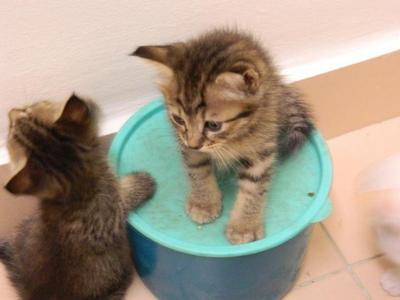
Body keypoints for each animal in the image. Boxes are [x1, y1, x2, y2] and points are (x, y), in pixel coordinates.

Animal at [0, 94, 155, 300]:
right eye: (11, 129)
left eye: (27, 110)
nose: (11, 112)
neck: (77, 186)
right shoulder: (111, 209)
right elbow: (126, 196)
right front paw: (142, 182)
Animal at [132, 27, 312, 244]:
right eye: (179, 120)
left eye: (213, 125)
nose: (193, 144)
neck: (233, 137)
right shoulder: (188, 146)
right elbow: (198, 170)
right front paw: (204, 203)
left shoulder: (261, 150)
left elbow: (253, 187)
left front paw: (244, 226)